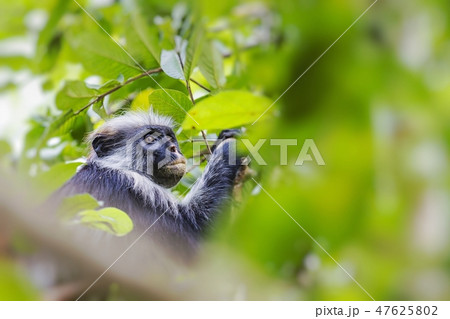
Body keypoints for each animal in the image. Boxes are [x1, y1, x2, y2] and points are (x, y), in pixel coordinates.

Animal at [55, 111, 246, 256]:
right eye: (150, 139)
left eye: (170, 139)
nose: (173, 149)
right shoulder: (131, 186)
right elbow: (198, 238)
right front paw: (229, 148)